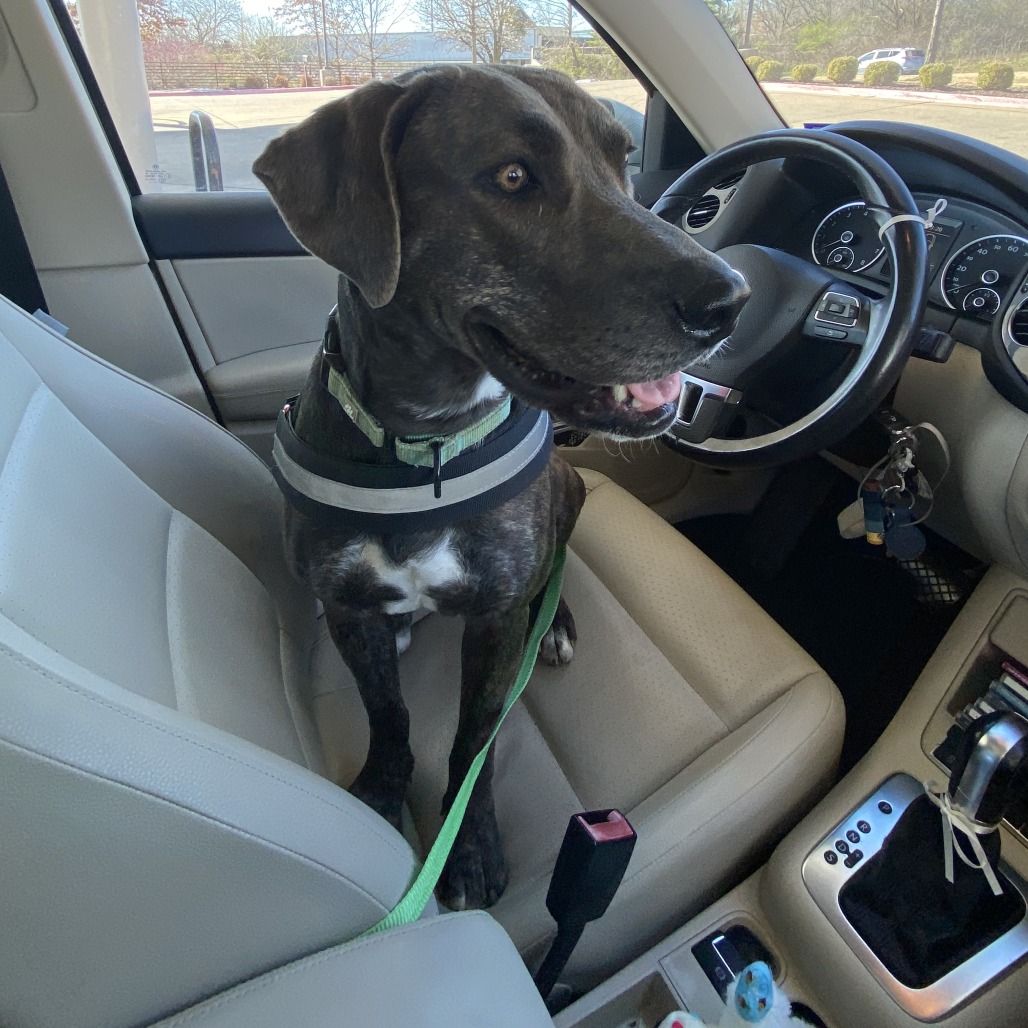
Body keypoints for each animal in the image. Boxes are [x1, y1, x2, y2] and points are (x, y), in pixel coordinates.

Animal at [253, 64, 747, 911]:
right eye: (512, 177)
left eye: (621, 159)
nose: (731, 300)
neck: (424, 446)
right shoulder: (345, 605)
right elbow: (388, 714)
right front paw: (382, 791)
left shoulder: (494, 617)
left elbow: (473, 738)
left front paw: (470, 843)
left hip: (569, 493)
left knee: (556, 567)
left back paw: (556, 624)